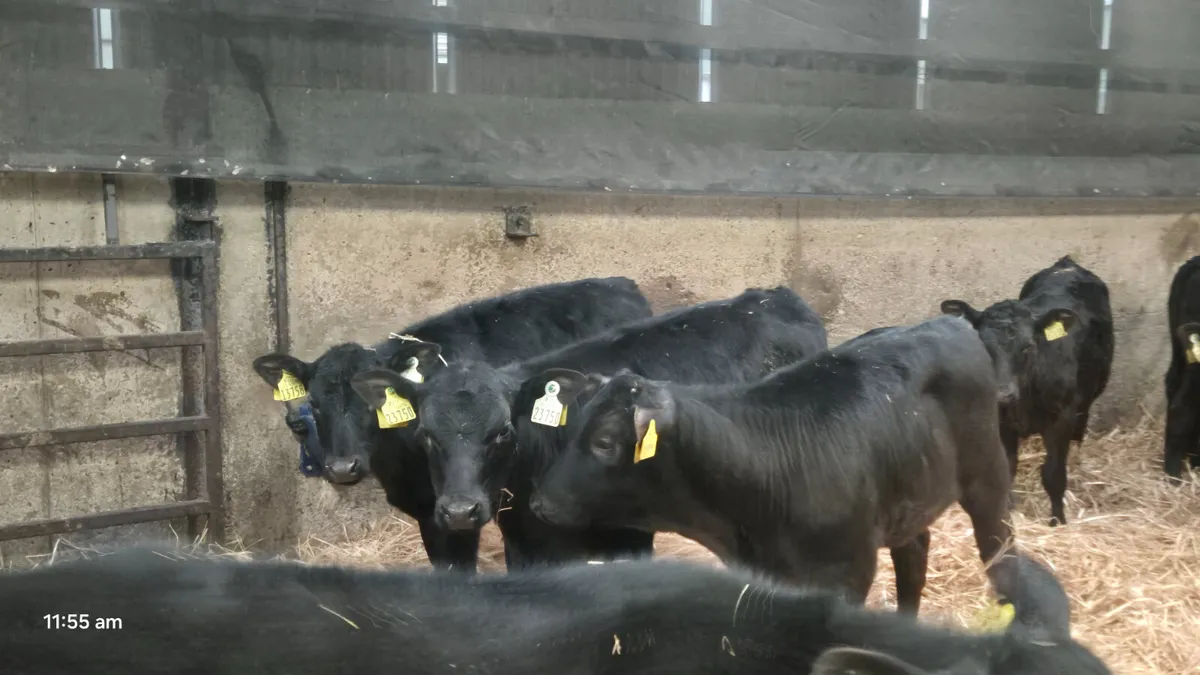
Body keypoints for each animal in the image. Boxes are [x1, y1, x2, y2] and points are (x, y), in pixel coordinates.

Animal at [349, 287, 828, 570]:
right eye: (426, 435)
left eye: (503, 431)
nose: (460, 511)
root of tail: (774, 296)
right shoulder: (525, 543)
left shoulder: (627, 537)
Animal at [529, 315, 1020, 616]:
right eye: (573, 430)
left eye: (604, 442)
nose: (540, 503)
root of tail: (947, 321)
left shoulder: (849, 572)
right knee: (914, 554)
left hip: (988, 475)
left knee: (999, 547)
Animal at [940, 256, 1114, 525]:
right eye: (983, 344)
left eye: (1028, 347)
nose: (1003, 393)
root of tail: (1067, 264)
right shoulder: (1001, 422)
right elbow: (1007, 468)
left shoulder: (1062, 419)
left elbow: (1054, 475)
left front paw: (1057, 521)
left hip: (1088, 395)